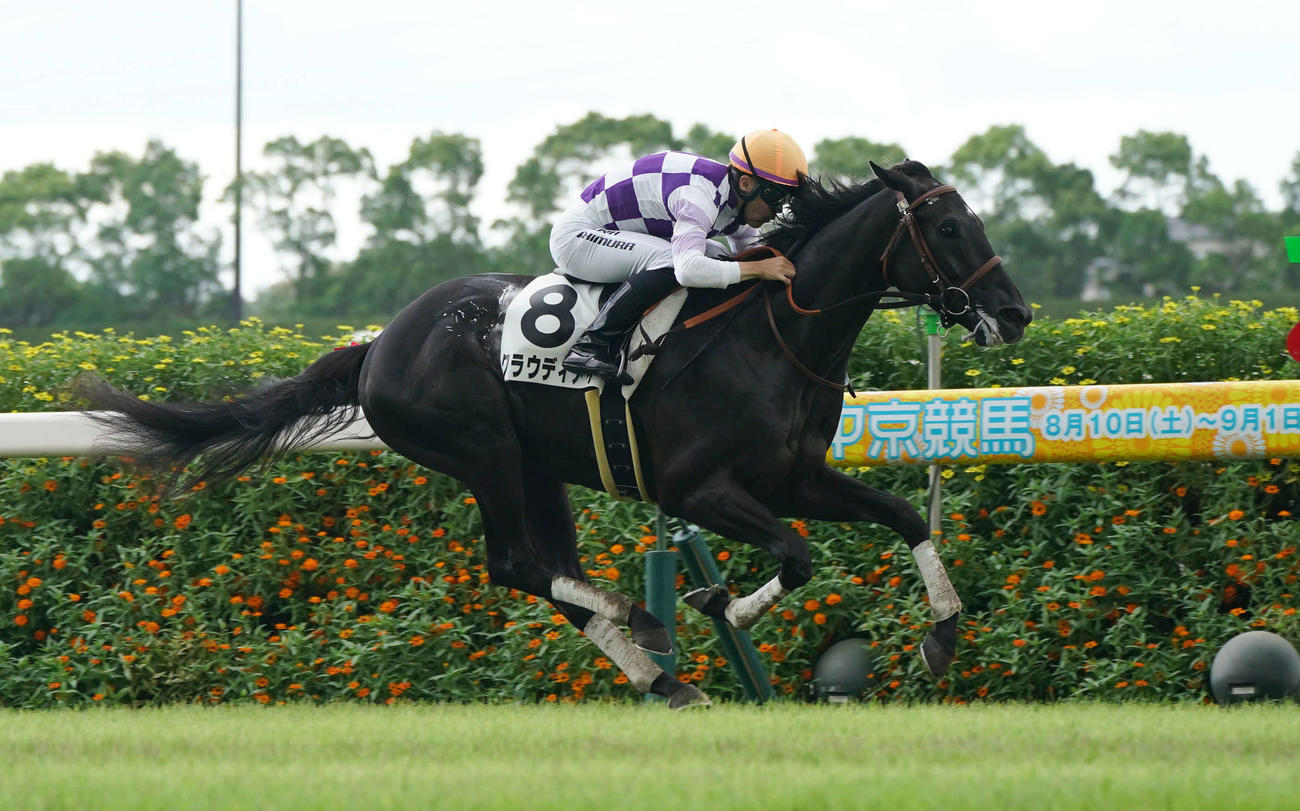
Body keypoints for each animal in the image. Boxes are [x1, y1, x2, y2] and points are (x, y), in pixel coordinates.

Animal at [77, 160, 1031, 709]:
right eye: (949, 226)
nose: (1015, 312)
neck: (779, 333)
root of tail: (377, 344)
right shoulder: (699, 487)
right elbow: (795, 555)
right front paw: (717, 602)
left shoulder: (792, 477)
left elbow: (900, 516)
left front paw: (943, 634)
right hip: (483, 451)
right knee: (516, 564)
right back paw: (643, 625)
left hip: (536, 465)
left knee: (547, 570)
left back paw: (658, 671)